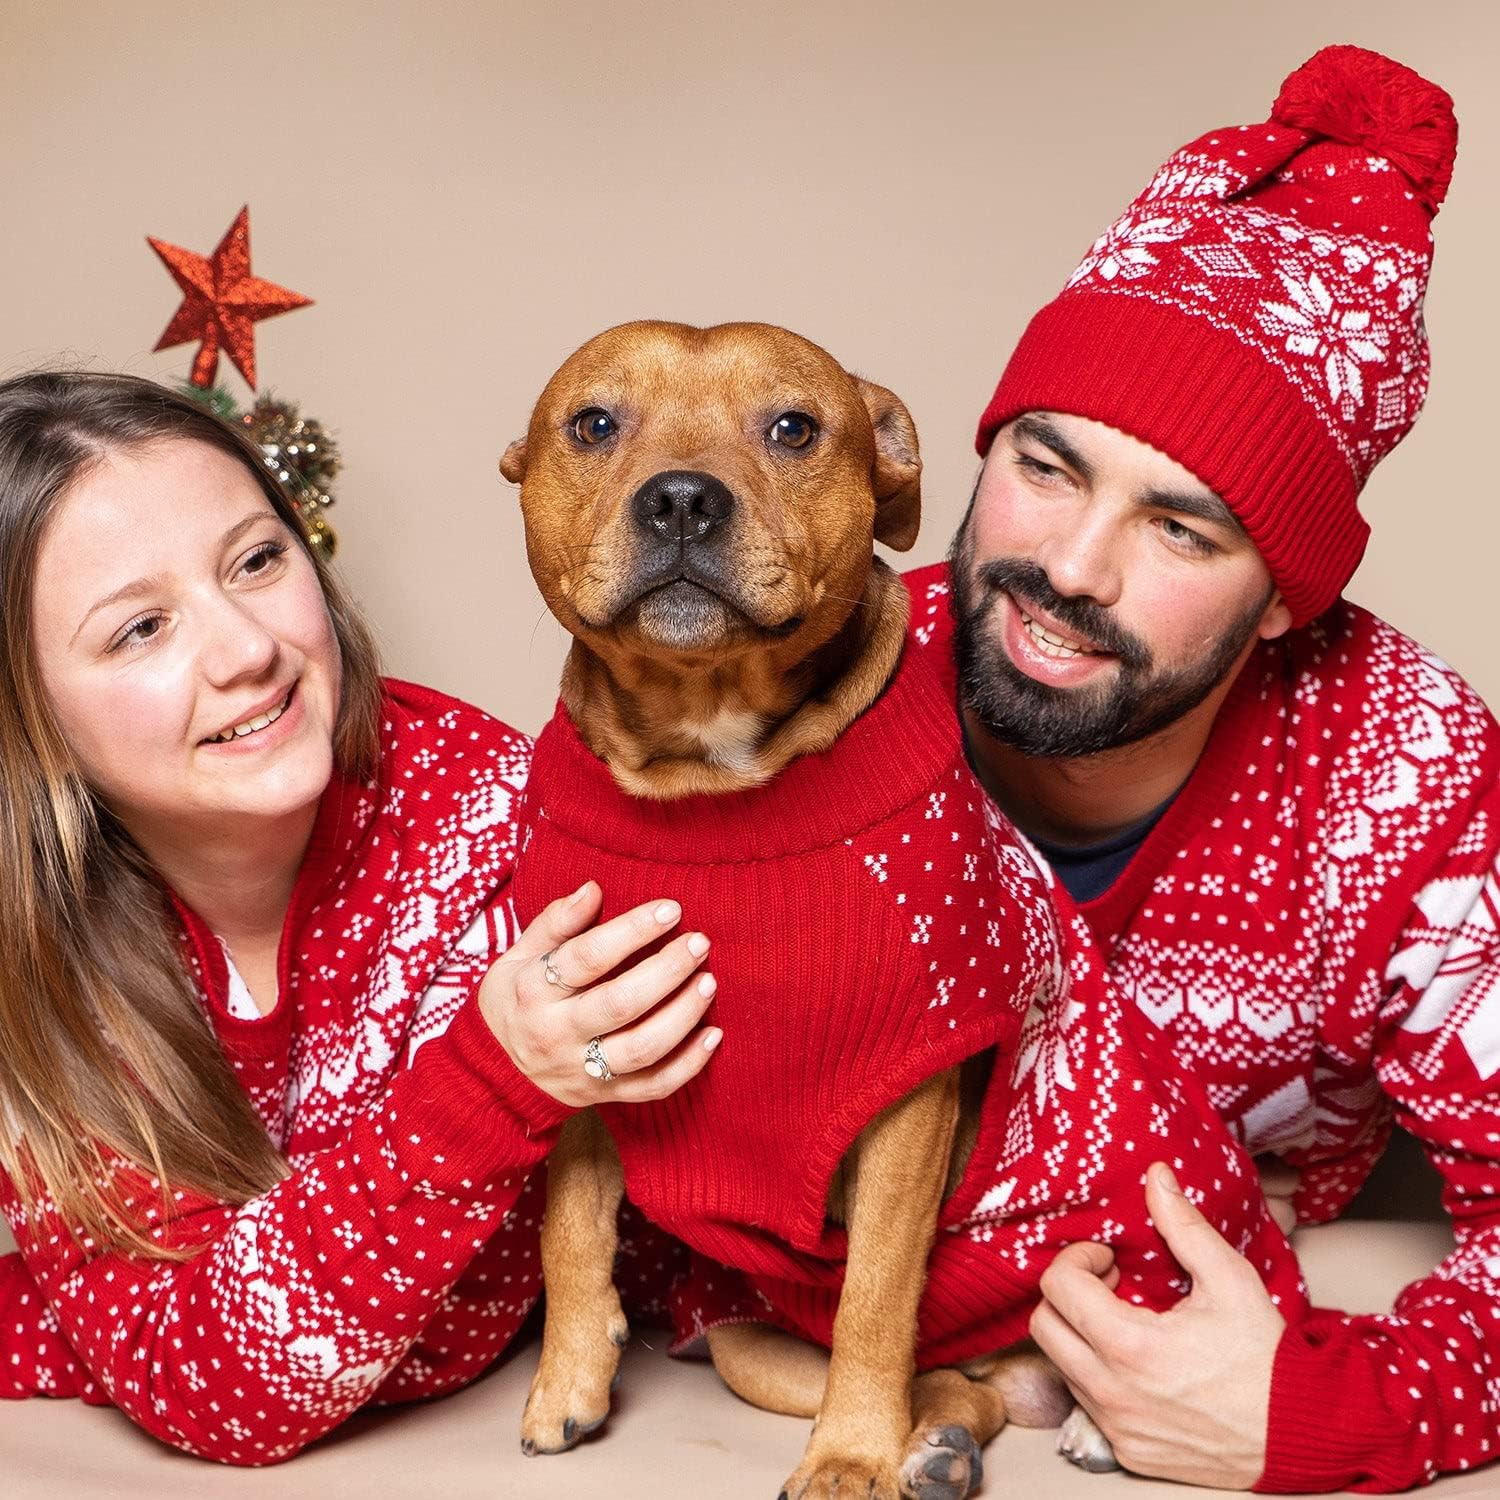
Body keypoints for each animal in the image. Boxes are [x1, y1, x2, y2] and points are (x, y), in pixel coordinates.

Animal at [492, 322, 1068, 1494]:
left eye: (795, 429)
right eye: (593, 423)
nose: (681, 499)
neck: (706, 766)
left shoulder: (907, 1096)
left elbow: (877, 1299)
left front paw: (849, 1458)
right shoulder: (577, 1041)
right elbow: (570, 1227)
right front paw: (567, 1382)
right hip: (748, 1345)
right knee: (960, 1391)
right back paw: (938, 1443)